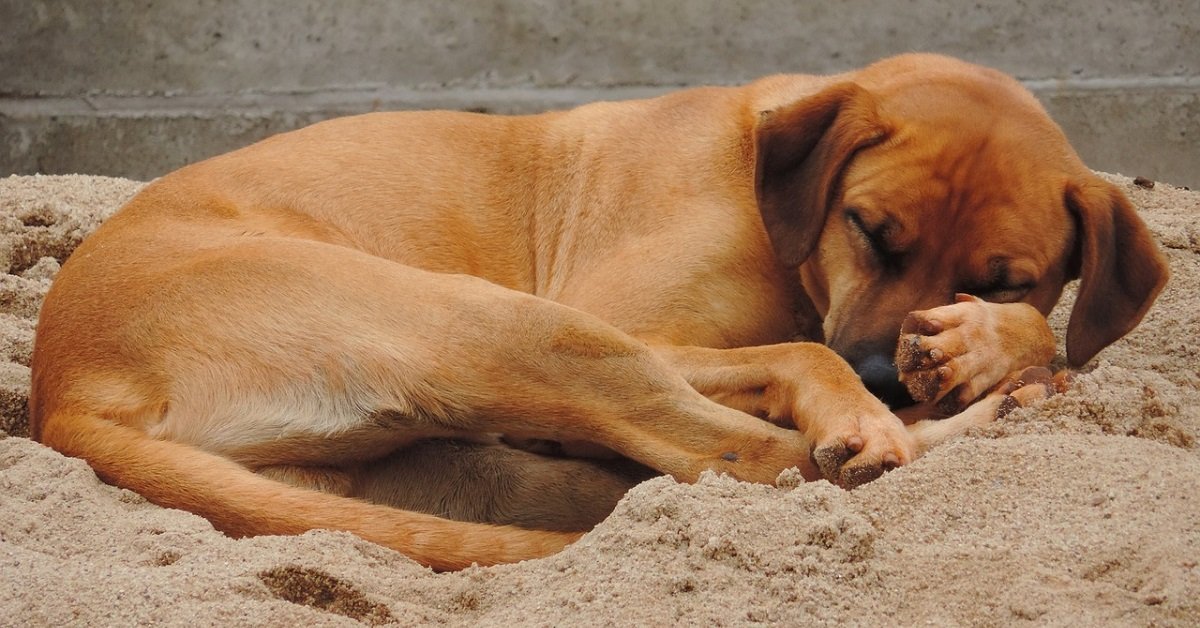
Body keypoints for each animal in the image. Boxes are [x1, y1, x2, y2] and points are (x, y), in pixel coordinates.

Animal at [28, 54, 1166, 571]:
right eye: (868, 228)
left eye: (1004, 275)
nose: (889, 374)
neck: (768, 189)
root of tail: (62, 391)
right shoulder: (634, 322)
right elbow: (801, 352)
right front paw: (873, 401)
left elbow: (1046, 326)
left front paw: (983, 342)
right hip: (511, 327)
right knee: (764, 461)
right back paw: (912, 426)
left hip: (432, 457)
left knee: (650, 480)